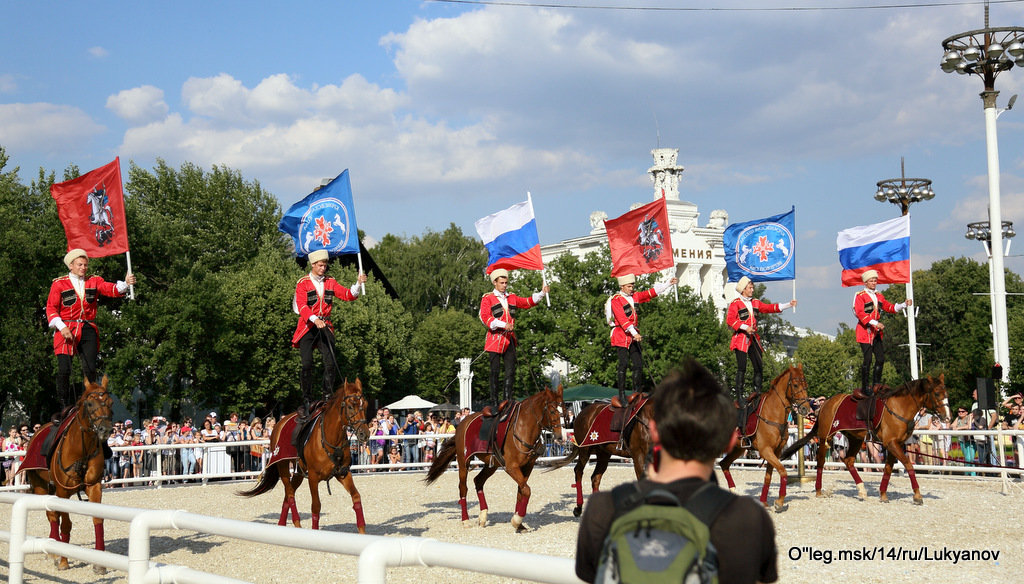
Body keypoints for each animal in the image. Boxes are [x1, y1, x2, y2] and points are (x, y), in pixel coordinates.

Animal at [21, 374, 114, 569]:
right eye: (90, 404)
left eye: (110, 402)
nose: (106, 429)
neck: (81, 450)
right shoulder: (62, 491)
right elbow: (65, 525)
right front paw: (63, 560)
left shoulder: (94, 487)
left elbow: (98, 519)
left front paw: (100, 564)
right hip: (41, 487)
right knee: (52, 516)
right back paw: (54, 552)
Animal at [237, 377, 370, 532]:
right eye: (350, 406)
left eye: (365, 405)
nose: (364, 433)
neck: (331, 439)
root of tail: (279, 423)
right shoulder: (313, 477)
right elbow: (316, 506)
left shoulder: (343, 473)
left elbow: (356, 497)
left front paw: (362, 532)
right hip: (283, 467)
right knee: (289, 494)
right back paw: (296, 523)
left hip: (298, 473)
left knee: (288, 495)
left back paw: (282, 524)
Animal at [425, 383, 565, 528]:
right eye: (552, 411)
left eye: (565, 409)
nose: (560, 437)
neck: (522, 428)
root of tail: (462, 424)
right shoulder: (511, 467)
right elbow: (526, 490)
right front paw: (517, 520)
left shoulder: (528, 466)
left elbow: (522, 491)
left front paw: (519, 524)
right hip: (464, 462)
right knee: (463, 488)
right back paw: (466, 520)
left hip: (492, 464)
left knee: (478, 481)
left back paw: (483, 515)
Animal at [716, 364, 811, 508]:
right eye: (795, 385)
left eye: (805, 384)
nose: (806, 408)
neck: (772, 414)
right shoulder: (765, 450)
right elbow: (783, 471)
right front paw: (779, 502)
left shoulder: (775, 452)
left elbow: (769, 476)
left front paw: (764, 501)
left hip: (738, 449)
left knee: (723, 464)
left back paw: (732, 490)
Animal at [782, 372, 950, 504]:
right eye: (936, 393)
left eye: (946, 393)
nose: (947, 417)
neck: (898, 408)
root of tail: (827, 403)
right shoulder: (892, 443)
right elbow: (909, 465)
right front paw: (917, 495)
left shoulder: (894, 444)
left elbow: (888, 468)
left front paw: (883, 494)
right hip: (825, 438)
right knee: (821, 462)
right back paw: (818, 490)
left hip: (855, 439)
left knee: (848, 461)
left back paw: (861, 489)